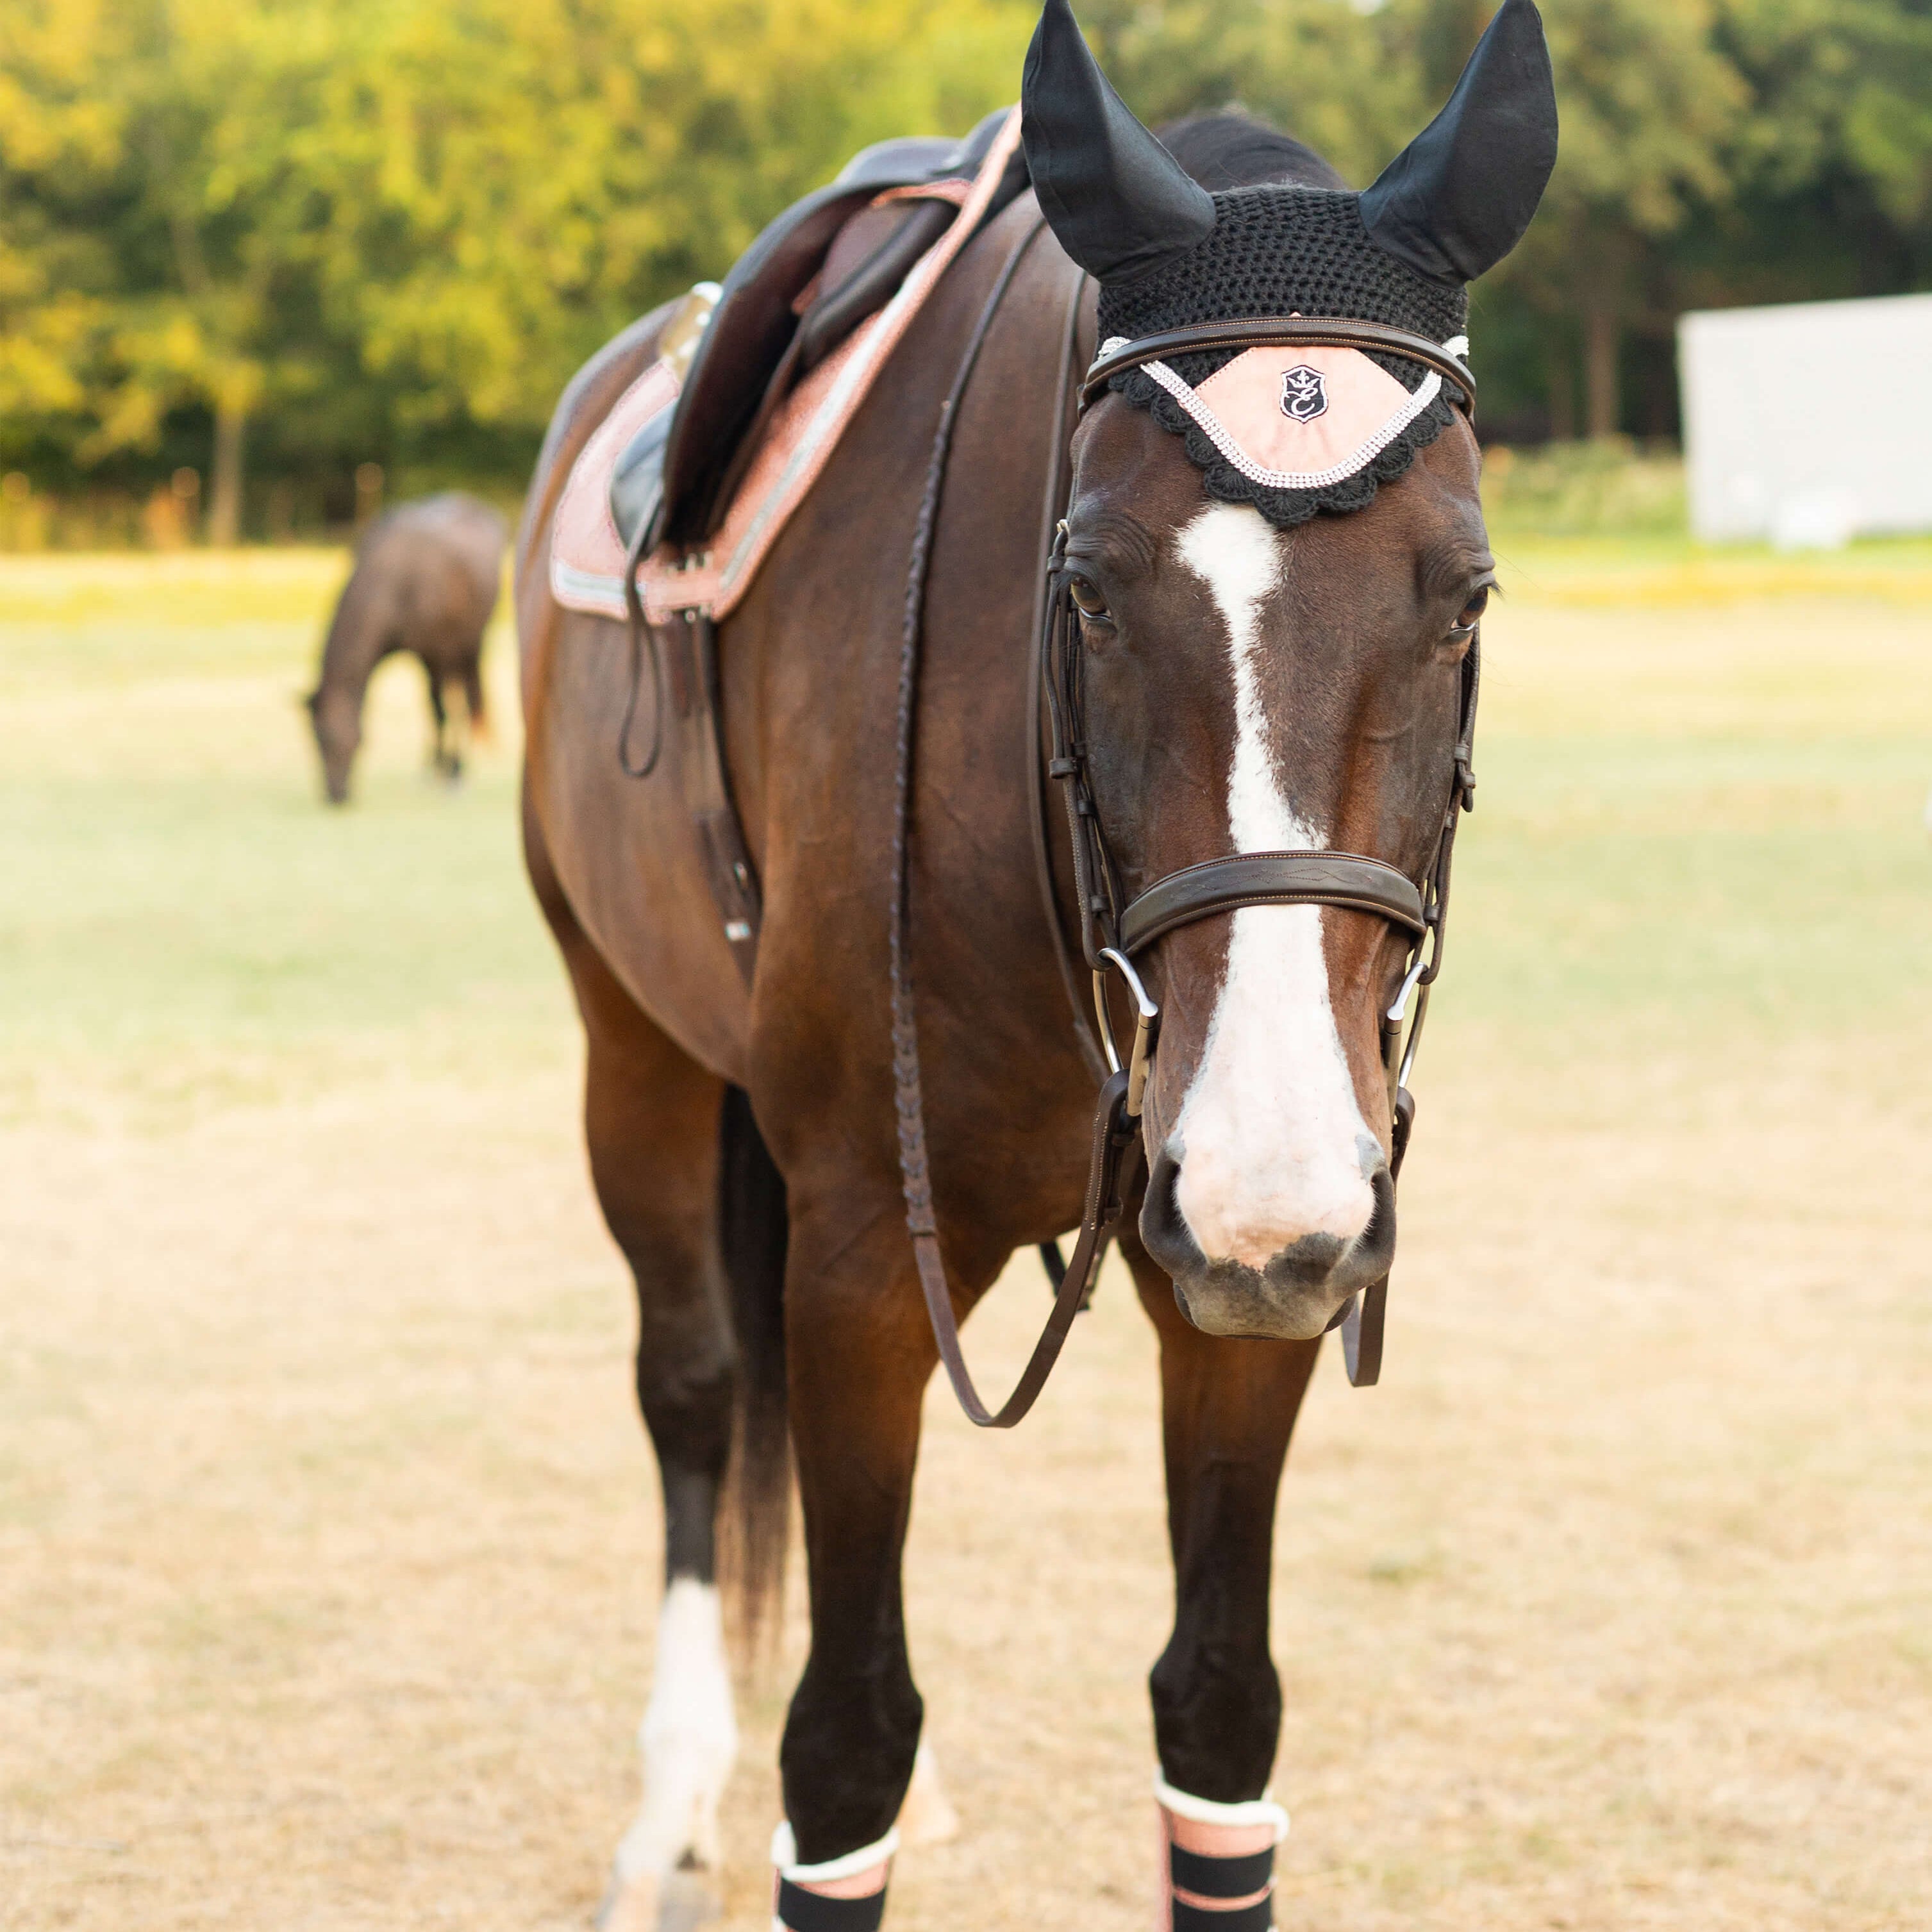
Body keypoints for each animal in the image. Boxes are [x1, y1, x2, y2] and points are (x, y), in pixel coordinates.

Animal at [303, 498, 506, 807]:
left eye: (329, 737)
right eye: (315, 738)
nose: (336, 796)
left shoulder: (439, 652)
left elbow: (446, 712)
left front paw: (450, 774)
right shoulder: (422, 657)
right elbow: (432, 710)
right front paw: (431, 770)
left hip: (469, 645)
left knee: (466, 703)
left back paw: (459, 770)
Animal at [513, 3, 1553, 1932]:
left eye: (1463, 595)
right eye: (1080, 587)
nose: (1262, 1180)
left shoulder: (1251, 1273)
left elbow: (1215, 1717)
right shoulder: (860, 1249)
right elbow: (843, 1741)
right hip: (632, 1042)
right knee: (692, 1387)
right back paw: (671, 1796)